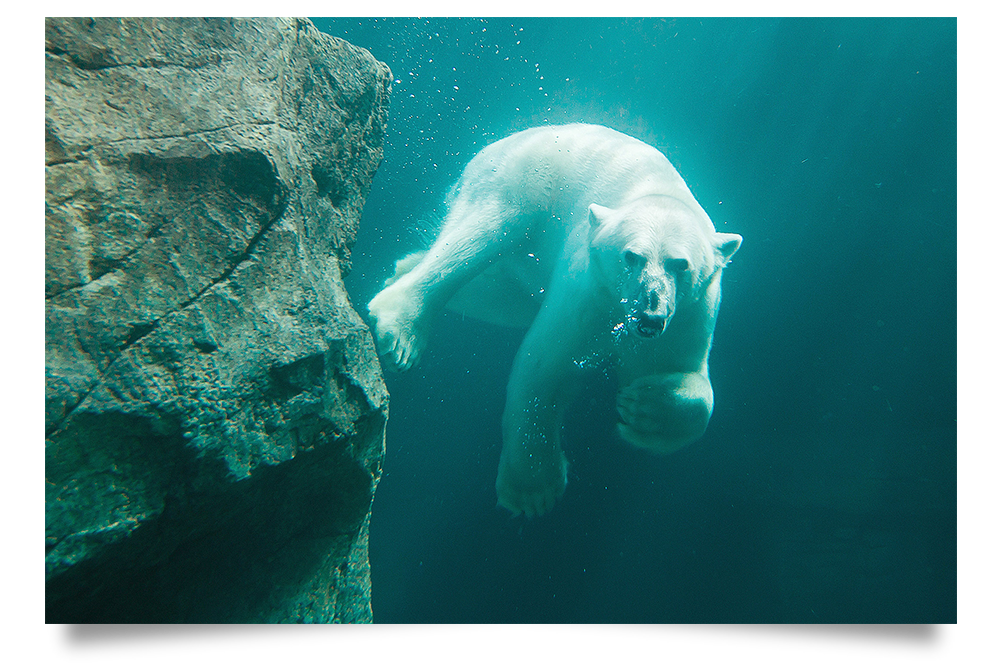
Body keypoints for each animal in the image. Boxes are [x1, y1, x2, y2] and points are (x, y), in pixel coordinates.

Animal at [368, 126, 744, 520]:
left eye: (679, 264)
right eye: (632, 257)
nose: (649, 315)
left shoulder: (689, 315)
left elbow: (685, 379)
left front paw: (643, 406)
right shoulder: (588, 291)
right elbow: (544, 364)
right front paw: (533, 490)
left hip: (520, 276)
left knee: (495, 295)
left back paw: (401, 267)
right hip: (520, 183)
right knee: (476, 238)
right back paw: (401, 327)